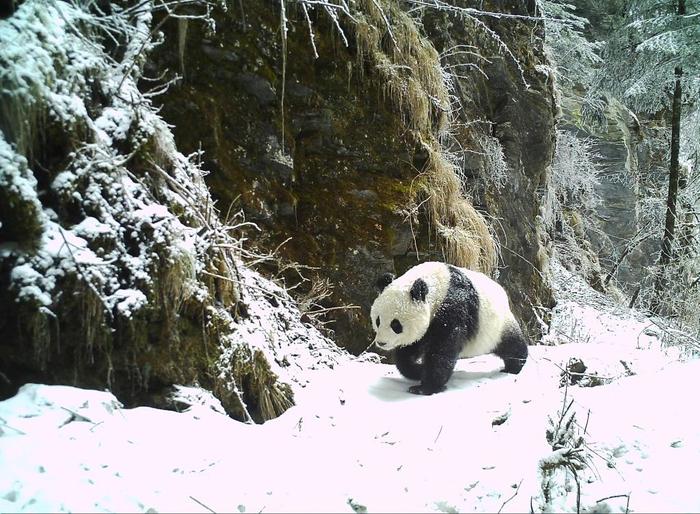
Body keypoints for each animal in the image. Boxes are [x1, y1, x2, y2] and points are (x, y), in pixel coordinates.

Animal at [372, 262, 524, 394]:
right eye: (378, 320)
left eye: (395, 324)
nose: (381, 342)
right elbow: (408, 351)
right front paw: (418, 371)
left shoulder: (453, 307)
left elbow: (442, 349)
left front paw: (425, 388)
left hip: (497, 325)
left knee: (512, 345)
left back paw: (514, 366)